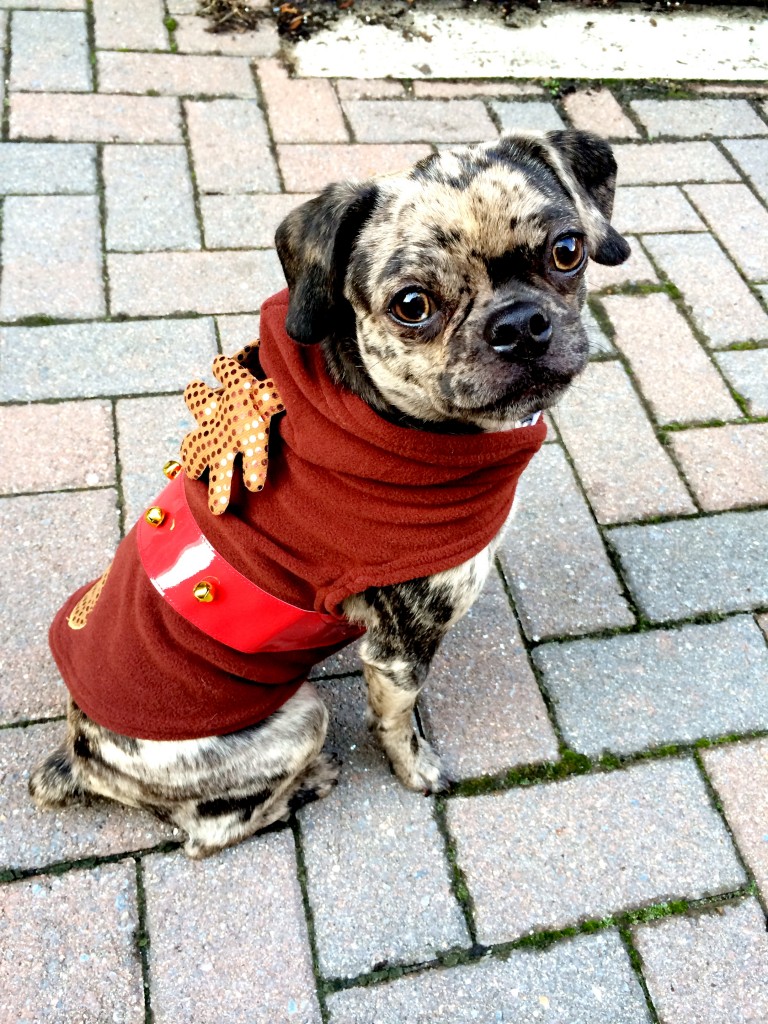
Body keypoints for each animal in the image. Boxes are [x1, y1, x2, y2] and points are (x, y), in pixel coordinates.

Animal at [30, 132, 630, 860]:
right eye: (412, 306)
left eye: (568, 251)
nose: (518, 324)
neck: (395, 423)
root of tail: (78, 755)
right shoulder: (399, 652)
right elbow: (398, 725)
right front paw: (416, 769)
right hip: (299, 718)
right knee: (209, 830)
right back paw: (311, 781)